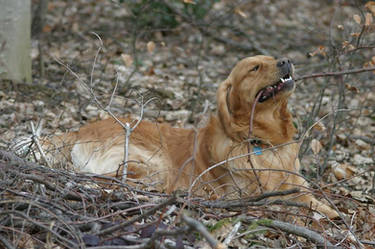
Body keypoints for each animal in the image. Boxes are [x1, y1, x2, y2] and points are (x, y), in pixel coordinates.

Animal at [38, 55, 338, 218]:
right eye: (254, 68)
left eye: (272, 58)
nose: (286, 61)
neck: (266, 143)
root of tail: (79, 130)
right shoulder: (254, 196)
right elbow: (296, 203)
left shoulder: (298, 184)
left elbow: (318, 202)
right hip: (153, 163)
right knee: (104, 180)